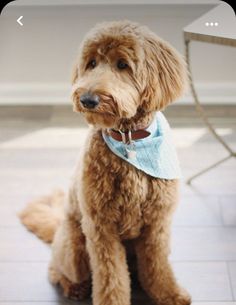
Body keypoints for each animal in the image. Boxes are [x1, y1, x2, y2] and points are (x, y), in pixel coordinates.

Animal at [19, 19, 191, 304]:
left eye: (123, 64)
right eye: (91, 63)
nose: (88, 99)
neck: (129, 140)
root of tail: (58, 227)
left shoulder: (157, 224)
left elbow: (158, 266)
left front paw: (170, 294)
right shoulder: (101, 228)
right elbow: (111, 277)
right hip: (75, 247)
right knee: (57, 269)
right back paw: (73, 286)